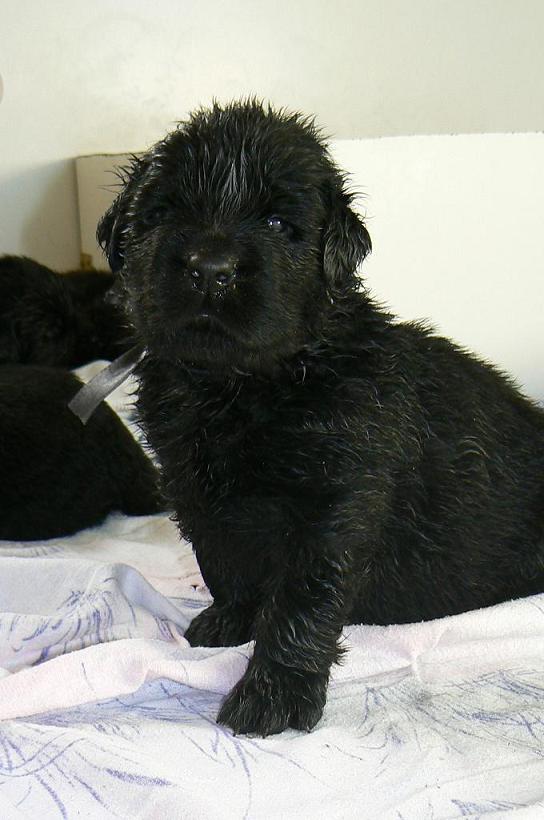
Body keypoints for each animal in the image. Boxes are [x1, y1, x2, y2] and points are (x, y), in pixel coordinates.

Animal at [97, 100, 544, 737]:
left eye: (279, 223)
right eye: (165, 211)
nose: (211, 269)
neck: (240, 387)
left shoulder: (334, 501)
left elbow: (302, 602)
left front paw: (274, 694)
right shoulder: (196, 490)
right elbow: (223, 561)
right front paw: (227, 622)